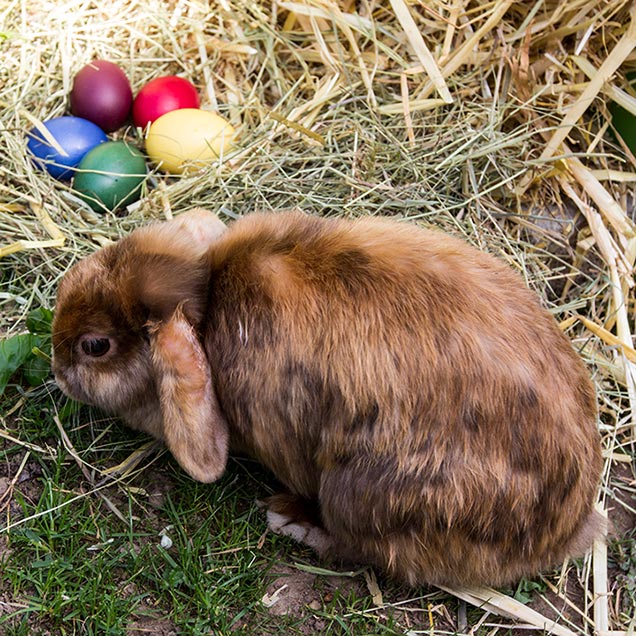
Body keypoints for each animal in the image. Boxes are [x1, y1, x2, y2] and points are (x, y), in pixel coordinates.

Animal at [52, 207, 604, 588]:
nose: (56, 371)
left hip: (363, 494)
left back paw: (291, 520)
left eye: (95, 346)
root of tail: (567, 529)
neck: (207, 303)